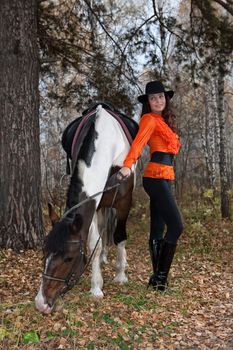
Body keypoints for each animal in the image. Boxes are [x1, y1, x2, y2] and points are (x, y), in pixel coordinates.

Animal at [35, 102, 138, 314]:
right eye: (44, 251)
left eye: (69, 258)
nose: (41, 303)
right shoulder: (92, 204)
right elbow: (94, 245)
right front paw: (97, 285)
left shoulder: (124, 202)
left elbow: (120, 236)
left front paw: (120, 274)